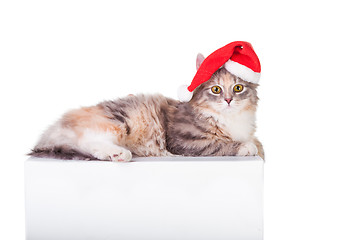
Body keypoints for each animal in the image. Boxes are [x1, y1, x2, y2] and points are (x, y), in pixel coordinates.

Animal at [29, 53, 262, 160]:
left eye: (238, 88)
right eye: (216, 89)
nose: (229, 100)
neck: (231, 119)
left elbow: (257, 142)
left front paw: (256, 146)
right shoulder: (184, 141)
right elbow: (220, 144)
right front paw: (246, 147)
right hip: (121, 121)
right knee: (87, 139)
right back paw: (118, 154)